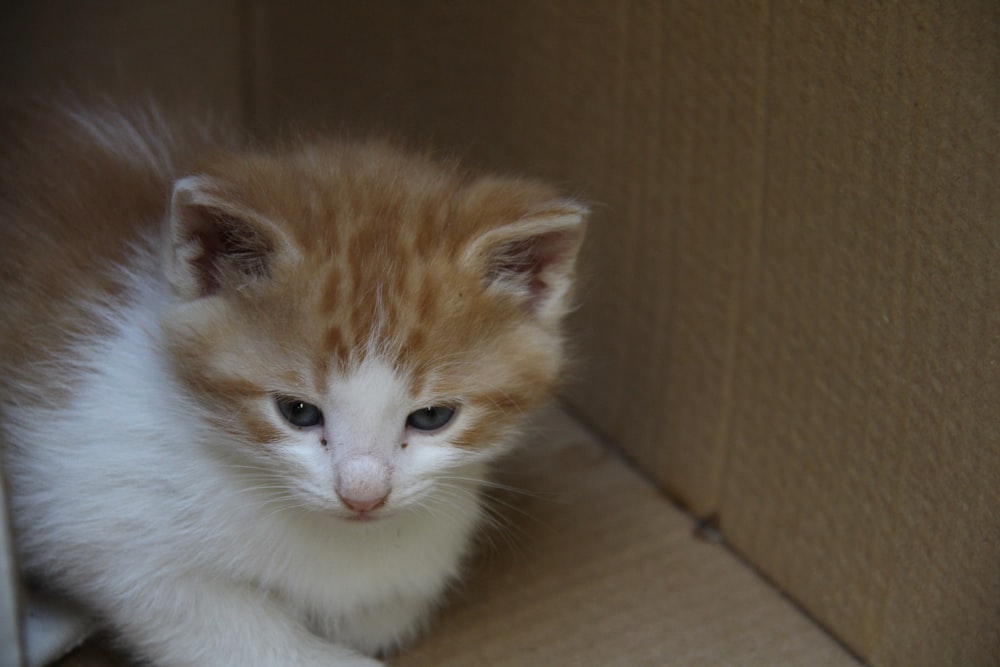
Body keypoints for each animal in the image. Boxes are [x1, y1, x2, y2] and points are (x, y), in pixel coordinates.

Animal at [0, 100, 584, 667]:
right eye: (297, 412)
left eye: (432, 417)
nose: (363, 496)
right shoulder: (93, 510)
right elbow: (219, 626)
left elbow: (385, 611)